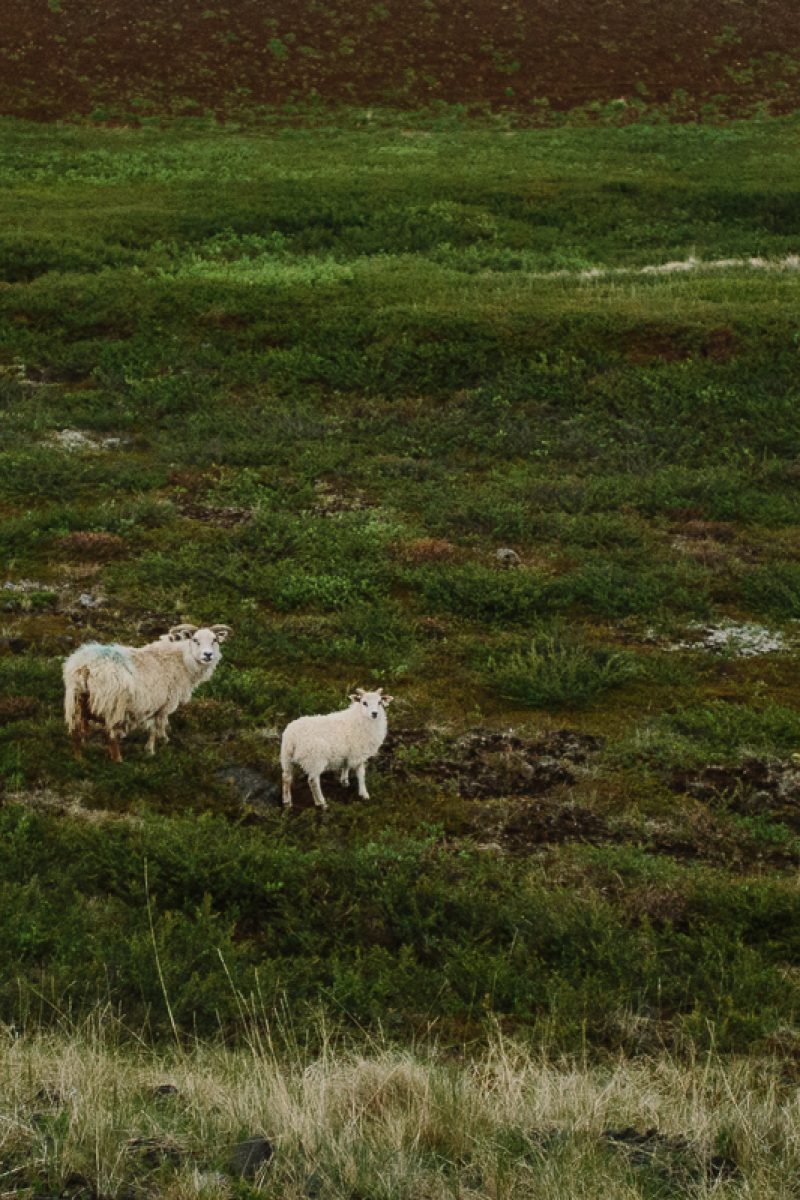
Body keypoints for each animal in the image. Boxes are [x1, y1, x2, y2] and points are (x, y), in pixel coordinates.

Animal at [63, 623, 232, 761]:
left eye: (214, 640)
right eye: (195, 640)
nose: (208, 655)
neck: (180, 660)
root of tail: (87, 667)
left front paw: (161, 741)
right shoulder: (163, 704)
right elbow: (156, 728)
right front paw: (153, 748)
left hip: (76, 700)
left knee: (77, 731)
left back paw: (80, 758)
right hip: (113, 705)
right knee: (110, 736)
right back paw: (118, 761)